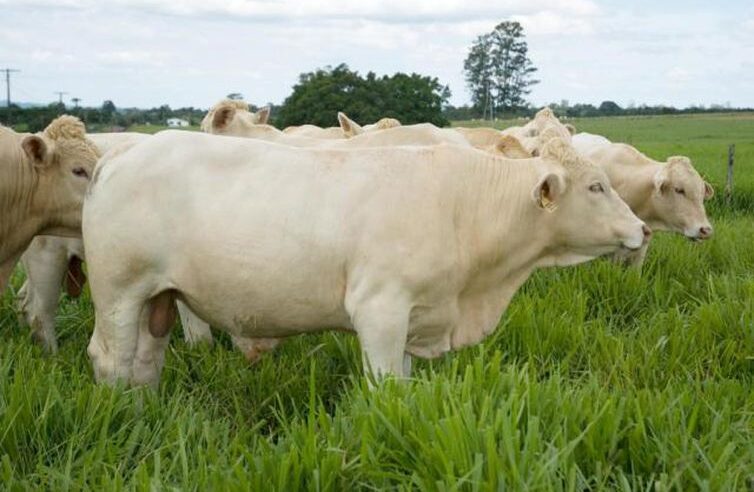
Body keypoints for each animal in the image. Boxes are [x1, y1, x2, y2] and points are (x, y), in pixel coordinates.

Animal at [82, 132, 648, 388]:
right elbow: (384, 389)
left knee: (145, 363)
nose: (642, 229)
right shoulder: (380, 310)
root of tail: (122, 153)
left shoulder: (416, 314)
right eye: (596, 186)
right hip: (118, 293)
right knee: (111, 359)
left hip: (158, 298)